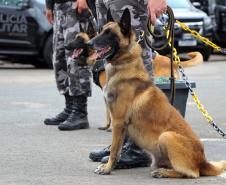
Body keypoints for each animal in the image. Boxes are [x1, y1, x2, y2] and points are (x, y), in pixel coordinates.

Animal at [86, 8, 226, 178]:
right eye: (100, 31)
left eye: (109, 34)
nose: (88, 44)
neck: (124, 64)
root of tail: (203, 161)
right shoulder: (120, 124)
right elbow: (118, 147)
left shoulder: (118, 122)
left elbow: (114, 150)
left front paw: (107, 168)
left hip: (166, 136)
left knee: (191, 173)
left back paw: (164, 172)